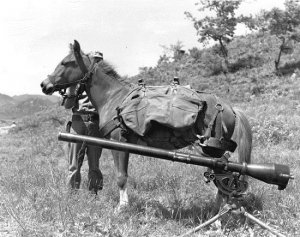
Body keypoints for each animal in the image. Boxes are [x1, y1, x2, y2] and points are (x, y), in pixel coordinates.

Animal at [40, 40, 292, 213]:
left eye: (66, 63)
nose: (44, 84)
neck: (114, 97)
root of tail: (230, 107)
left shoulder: (119, 143)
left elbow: (121, 177)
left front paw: (122, 208)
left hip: (212, 150)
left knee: (224, 177)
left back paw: (218, 213)